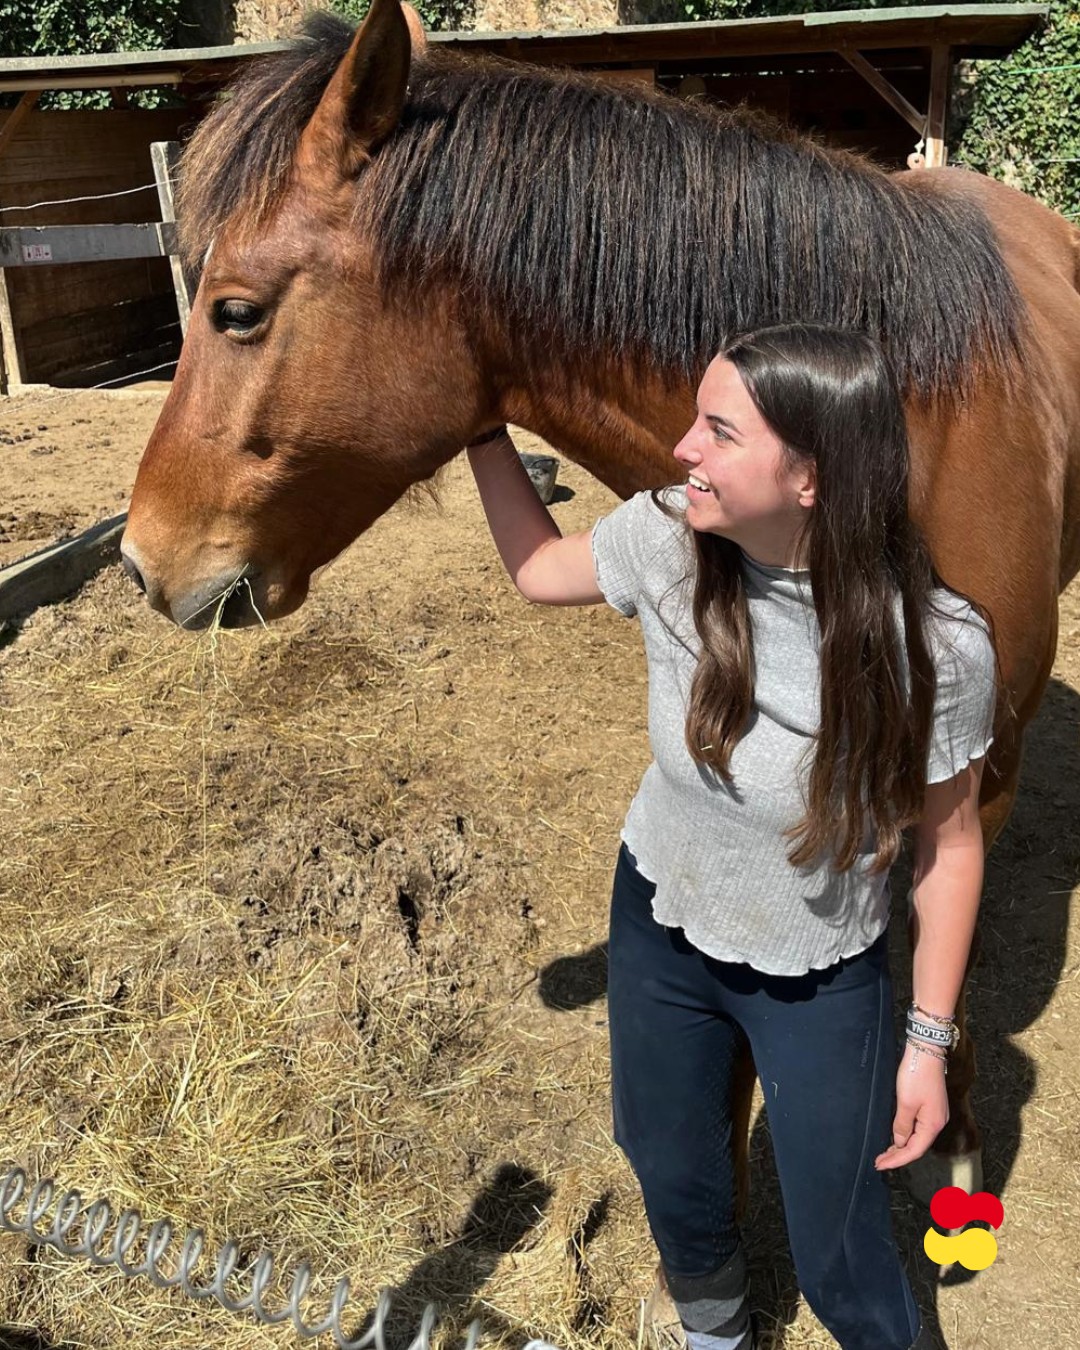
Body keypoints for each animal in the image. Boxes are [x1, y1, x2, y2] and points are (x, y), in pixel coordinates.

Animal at [121, 0, 1080, 1212]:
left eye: (236, 311)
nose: (140, 559)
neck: (902, 426)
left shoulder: (980, 774)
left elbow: (929, 942)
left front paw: (943, 1123)